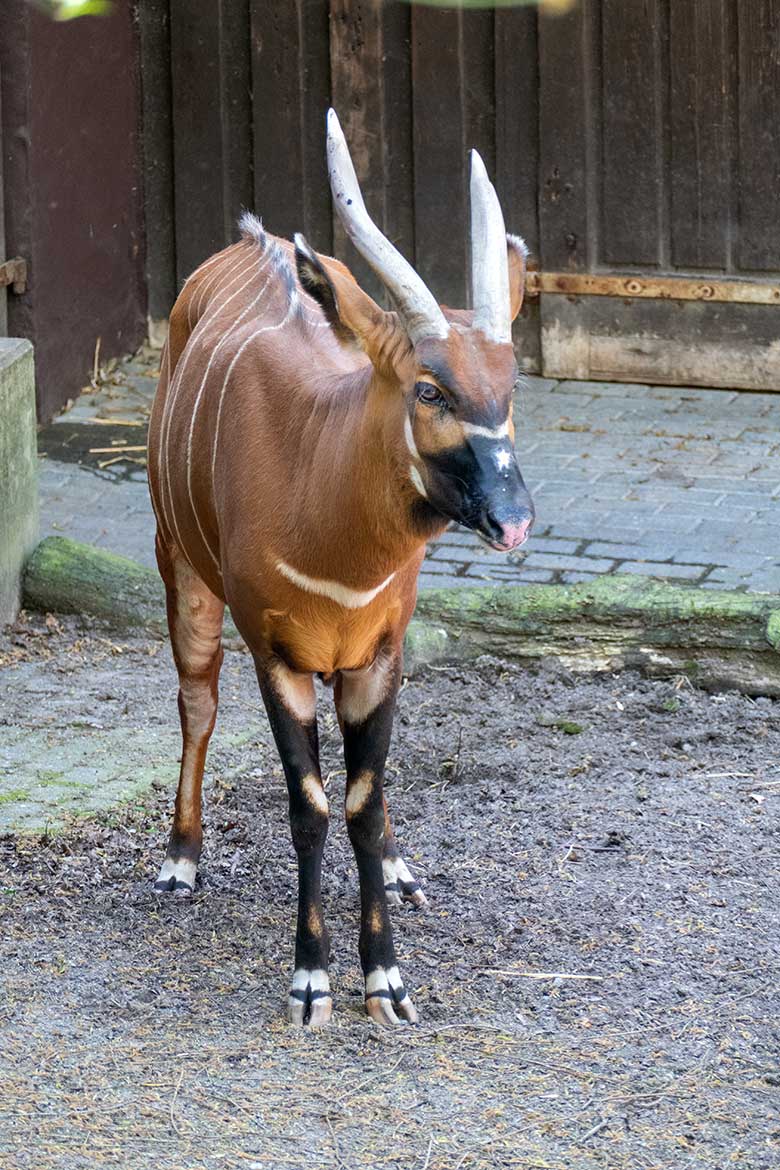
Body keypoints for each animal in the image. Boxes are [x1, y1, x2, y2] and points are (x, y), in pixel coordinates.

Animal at [147, 109, 533, 1024]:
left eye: (510, 389)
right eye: (429, 390)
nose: (513, 520)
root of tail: (247, 242)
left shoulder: (379, 655)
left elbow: (361, 799)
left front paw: (387, 978)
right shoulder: (277, 657)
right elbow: (310, 808)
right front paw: (312, 980)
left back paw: (399, 867)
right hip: (179, 566)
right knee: (195, 700)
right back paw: (180, 859)